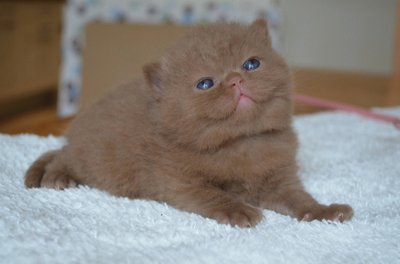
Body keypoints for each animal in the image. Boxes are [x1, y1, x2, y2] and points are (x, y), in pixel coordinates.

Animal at [24, 20, 354, 227]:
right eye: (205, 84)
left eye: (251, 64)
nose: (235, 80)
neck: (241, 142)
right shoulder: (179, 181)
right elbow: (214, 195)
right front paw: (239, 211)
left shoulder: (280, 178)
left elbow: (299, 199)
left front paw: (324, 211)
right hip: (93, 158)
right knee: (63, 156)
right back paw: (56, 177)